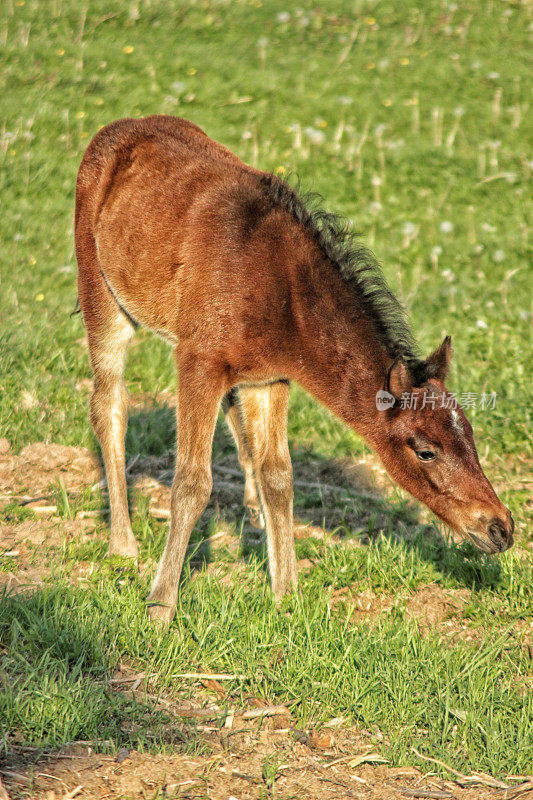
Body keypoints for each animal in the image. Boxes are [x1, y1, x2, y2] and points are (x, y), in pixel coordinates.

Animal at [74, 114, 512, 624]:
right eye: (425, 451)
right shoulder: (198, 360)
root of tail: (122, 125)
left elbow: (279, 477)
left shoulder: (270, 377)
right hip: (100, 291)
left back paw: (250, 515)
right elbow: (191, 483)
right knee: (109, 404)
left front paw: (286, 594)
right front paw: (161, 607)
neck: (283, 294)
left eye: (472, 437)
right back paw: (122, 545)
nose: (502, 528)